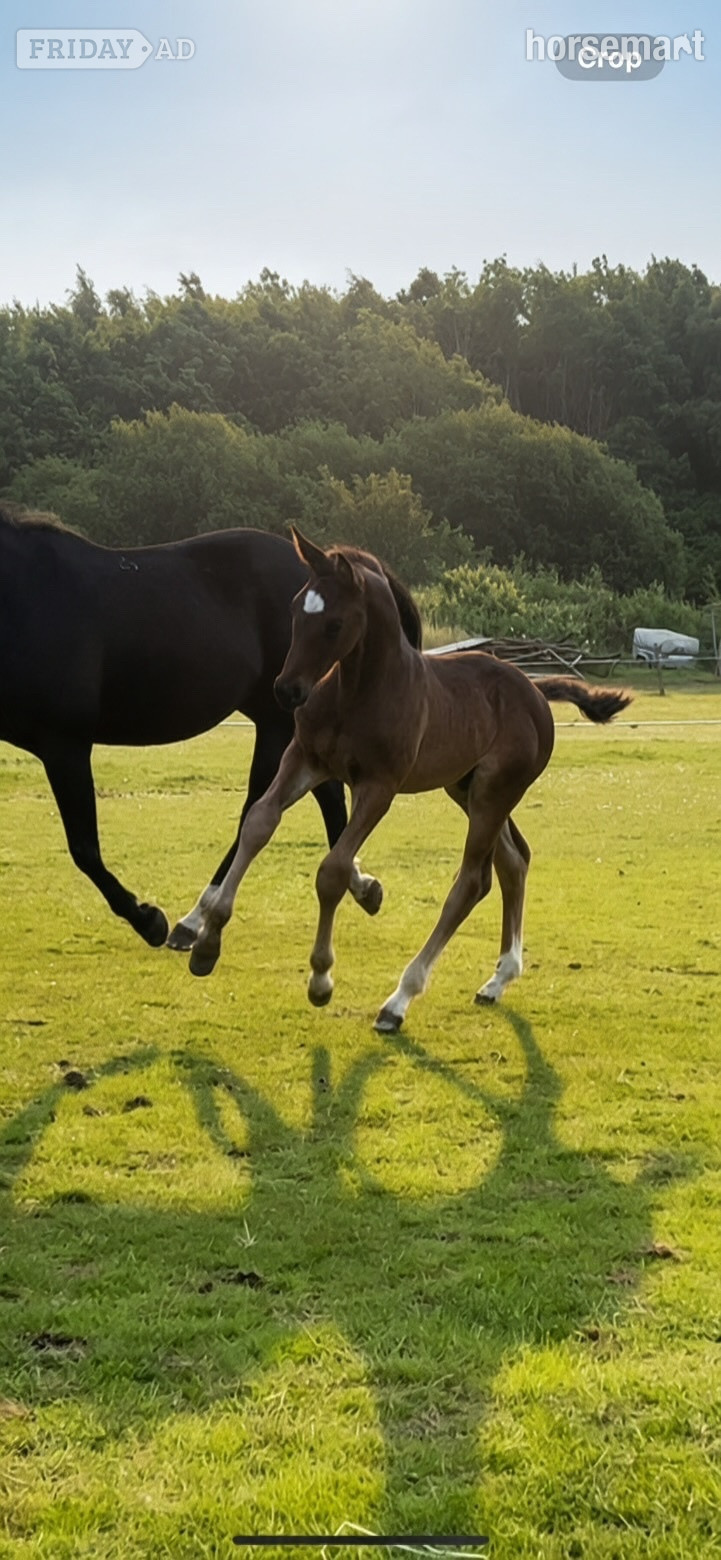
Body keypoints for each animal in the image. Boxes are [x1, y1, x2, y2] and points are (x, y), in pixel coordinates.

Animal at [0, 506, 421, 948]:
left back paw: (196, 917)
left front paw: (148, 919)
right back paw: (358, 884)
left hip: (277, 724)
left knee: (262, 808)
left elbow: (84, 848)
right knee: (320, 800)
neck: (26, 594)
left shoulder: (65, 744)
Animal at [188, 528, 631, 1030]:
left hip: (494, 794)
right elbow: (259, 822)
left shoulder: (378, 787)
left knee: (472, 882)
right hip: (467, 789)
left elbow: (333, 869)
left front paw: (321, 978)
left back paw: (399, 1000)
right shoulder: (305, 758)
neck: (358, 691)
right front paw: (207, 943)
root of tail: (534, 691)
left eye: (335, 624)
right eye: (297, 608)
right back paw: (497, 980)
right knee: (513, 861)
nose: (287, 690)